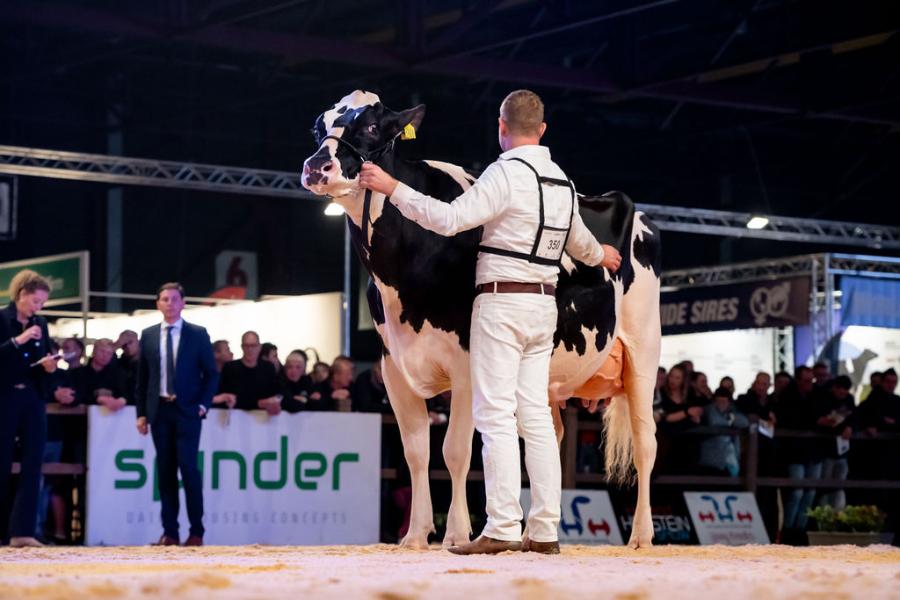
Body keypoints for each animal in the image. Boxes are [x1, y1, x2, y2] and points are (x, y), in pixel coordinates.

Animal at [302, 90, 660, 548]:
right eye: (319, 127)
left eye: (371, 126)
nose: (316, 168)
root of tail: (626, 205)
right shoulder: (393, 367)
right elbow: (416, 452)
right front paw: (415, 535)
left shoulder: (467, 364)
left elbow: (455, 452)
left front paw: (455, 534)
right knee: (550, 435)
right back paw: (536, 532)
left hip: (644, 352)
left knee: (645, 443)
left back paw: (641, 536)